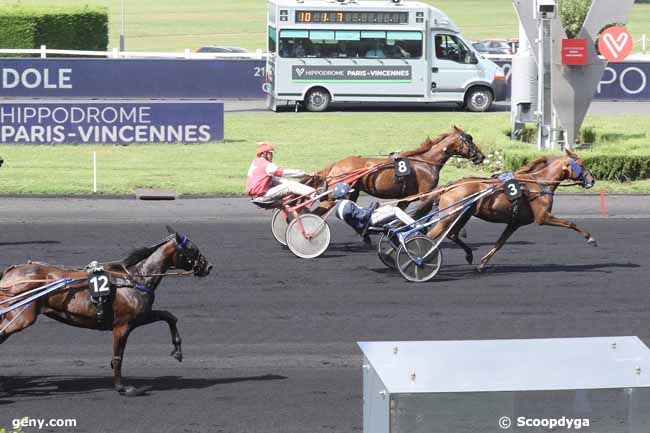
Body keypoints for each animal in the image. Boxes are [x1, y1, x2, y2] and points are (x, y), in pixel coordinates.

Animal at [0, 226, 211, 394]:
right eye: (192, 249)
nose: (208, 266)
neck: (134, 278)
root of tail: (9, 273)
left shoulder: (139, 317)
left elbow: (169, 316)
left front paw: (177, 351)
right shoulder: (122, 326)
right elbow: (118, 357)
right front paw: (122, 387)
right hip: (22, 317)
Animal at [308, 125, 480, 218]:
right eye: (469, 140)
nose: (481, 156)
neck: (425, 161)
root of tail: (336, 164)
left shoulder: (406, 198)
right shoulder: (424, 194)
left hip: (351, 192)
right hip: (333, 195)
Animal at [422, 148, 596, 270]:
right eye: (581, 165)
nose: (592, 180)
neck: (539, 184)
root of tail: (450, 186)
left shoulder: (514, 223)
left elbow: (500, 243)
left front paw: (482, 263)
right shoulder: (542, 217)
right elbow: (570, 223)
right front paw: (590, 238)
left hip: (463, 215)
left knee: (452, 234)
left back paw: (468, 255)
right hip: (449, 217)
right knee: (430, 236)